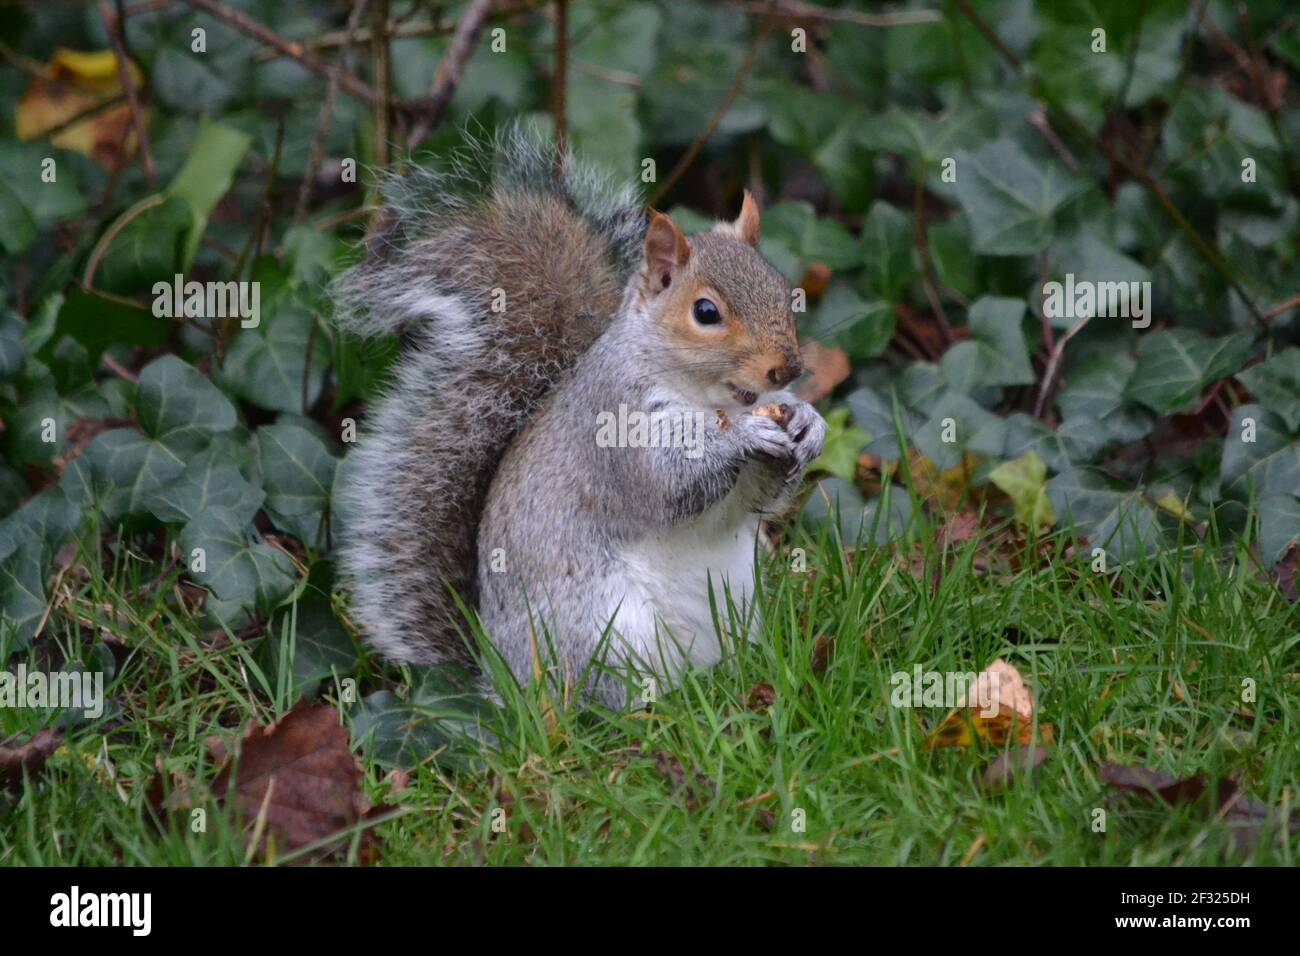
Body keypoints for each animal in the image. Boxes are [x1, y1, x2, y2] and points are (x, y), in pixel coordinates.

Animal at [332, 127, 821, 707]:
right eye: (706, 312)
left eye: (782, 289)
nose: (788, 367)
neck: (711, 400)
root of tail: (504, 682)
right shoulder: (614, 424)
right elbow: (667, 485)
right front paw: (744, 435)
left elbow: (753, 499)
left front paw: (809, 424)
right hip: (601, 635)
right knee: (605, 702)